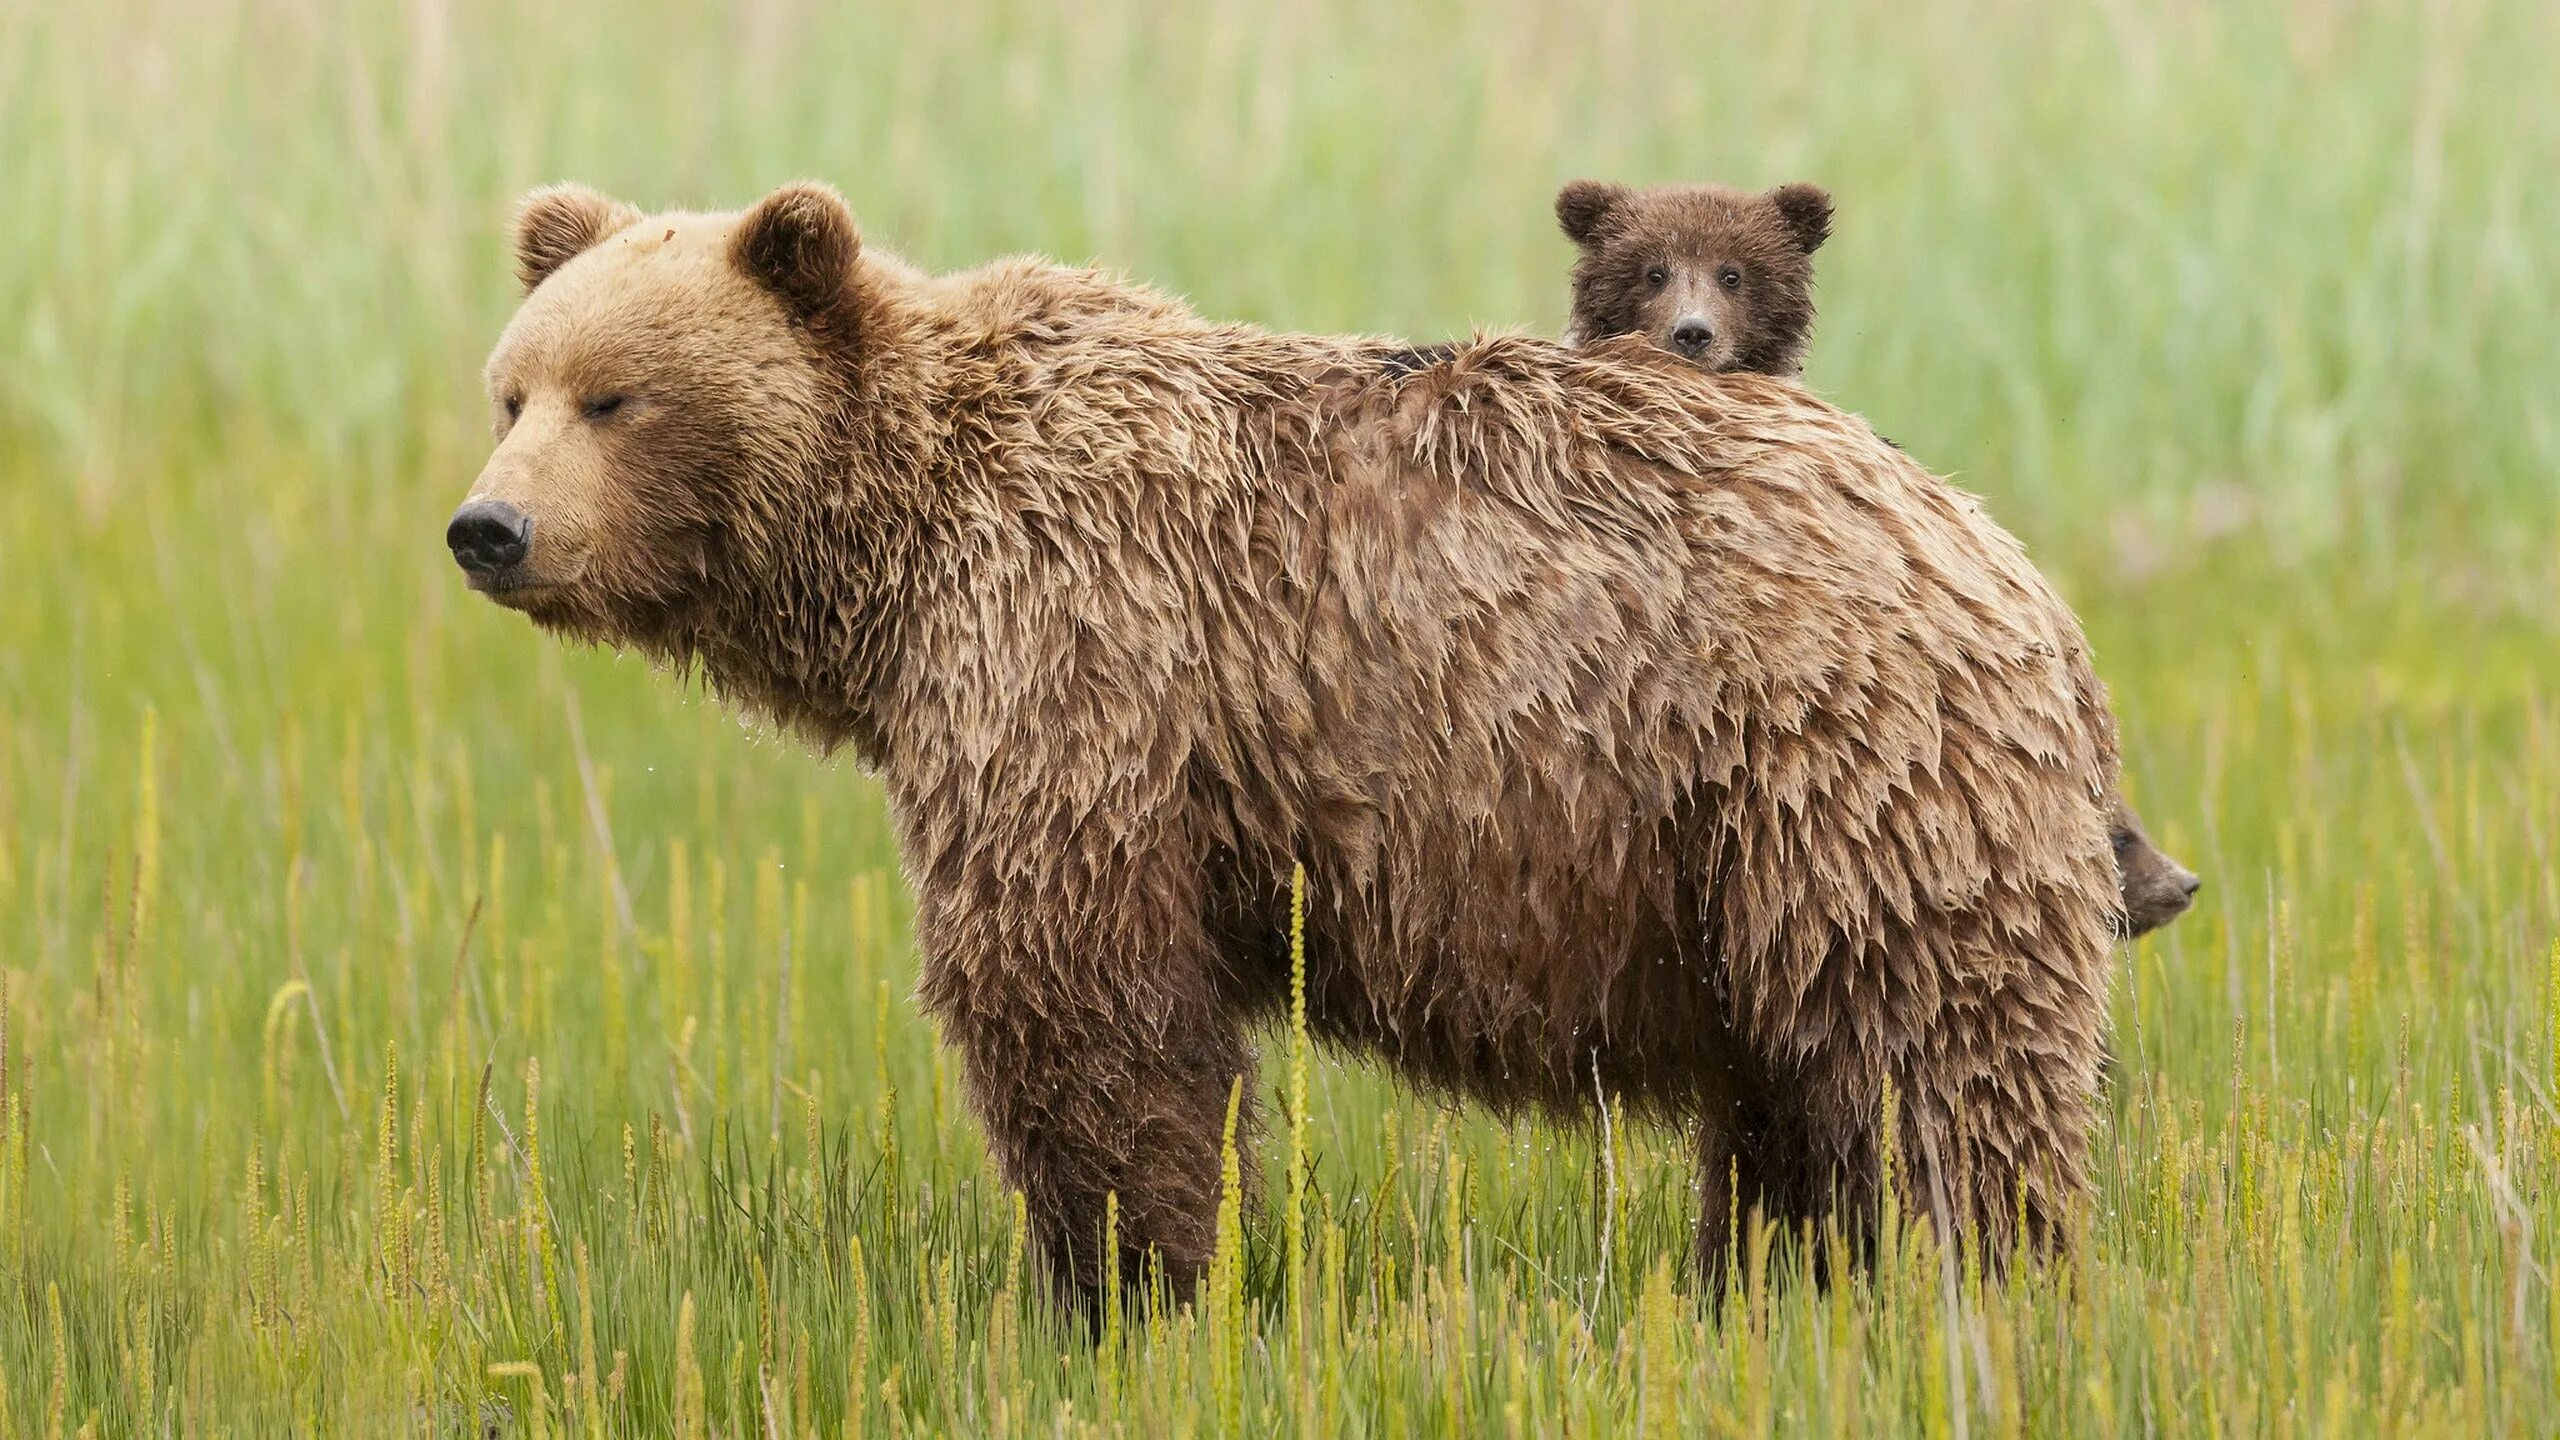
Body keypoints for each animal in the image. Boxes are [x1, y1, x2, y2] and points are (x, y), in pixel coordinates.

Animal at [455, 179, 2119, 1311]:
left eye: (617, 397)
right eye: (510, 389)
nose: (491, 529)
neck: (901, 560)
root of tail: (2009, 560)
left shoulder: (1081, 658)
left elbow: (1076, 996)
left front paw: (1134, 1283)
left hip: (1832, 763)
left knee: (1935, 1052)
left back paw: (1993, 1278)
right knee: (1793, 1090)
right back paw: (1777, 1281)